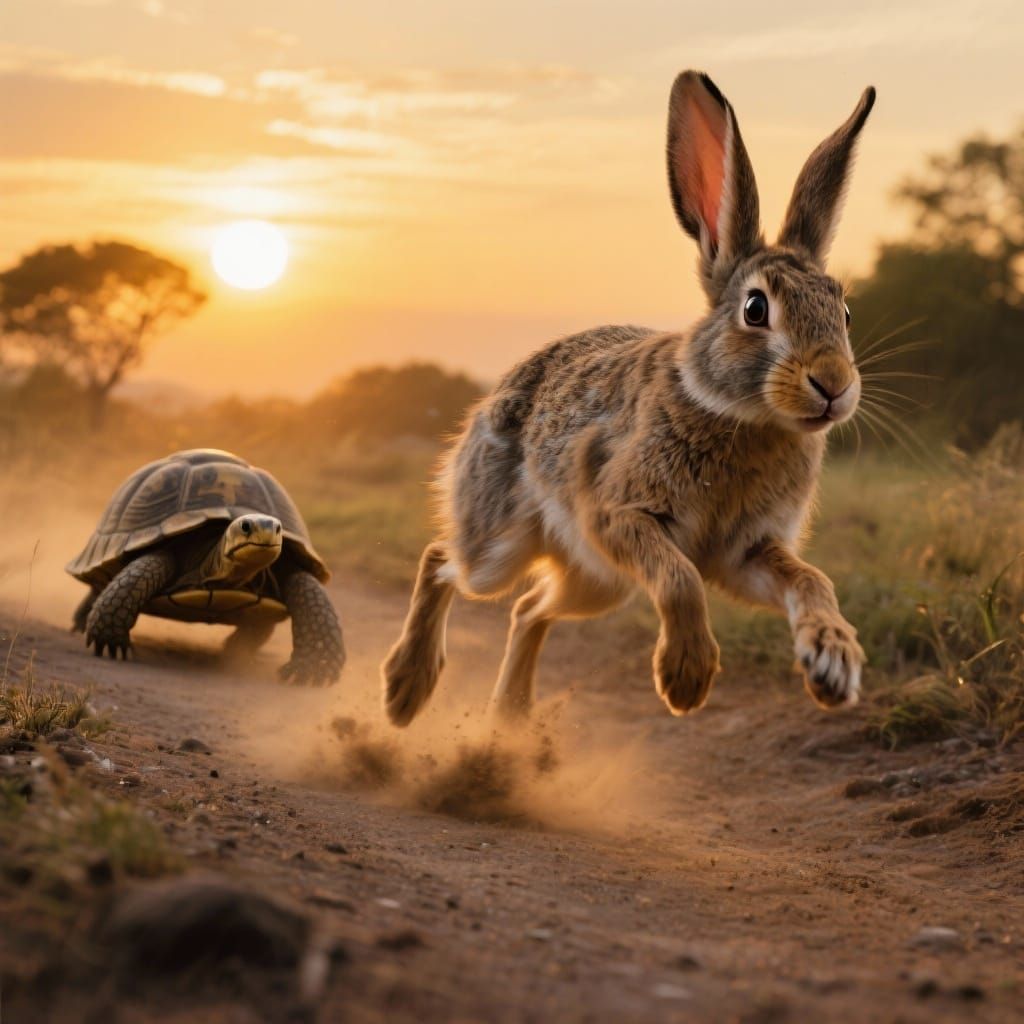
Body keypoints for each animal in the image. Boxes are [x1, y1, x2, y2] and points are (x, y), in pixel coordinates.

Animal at [382, 69, 875, 727]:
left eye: (843, 312)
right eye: (755, 309)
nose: (834, 385)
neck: (739, 415)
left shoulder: (748, 551)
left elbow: (812, 581)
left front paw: (833, 664)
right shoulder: (618, 514)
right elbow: (679, 579)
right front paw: (686, 679)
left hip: (596, 582)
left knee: (528, 608)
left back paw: (510, 715)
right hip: (504, 547)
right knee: (442, 559)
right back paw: (405, 689)